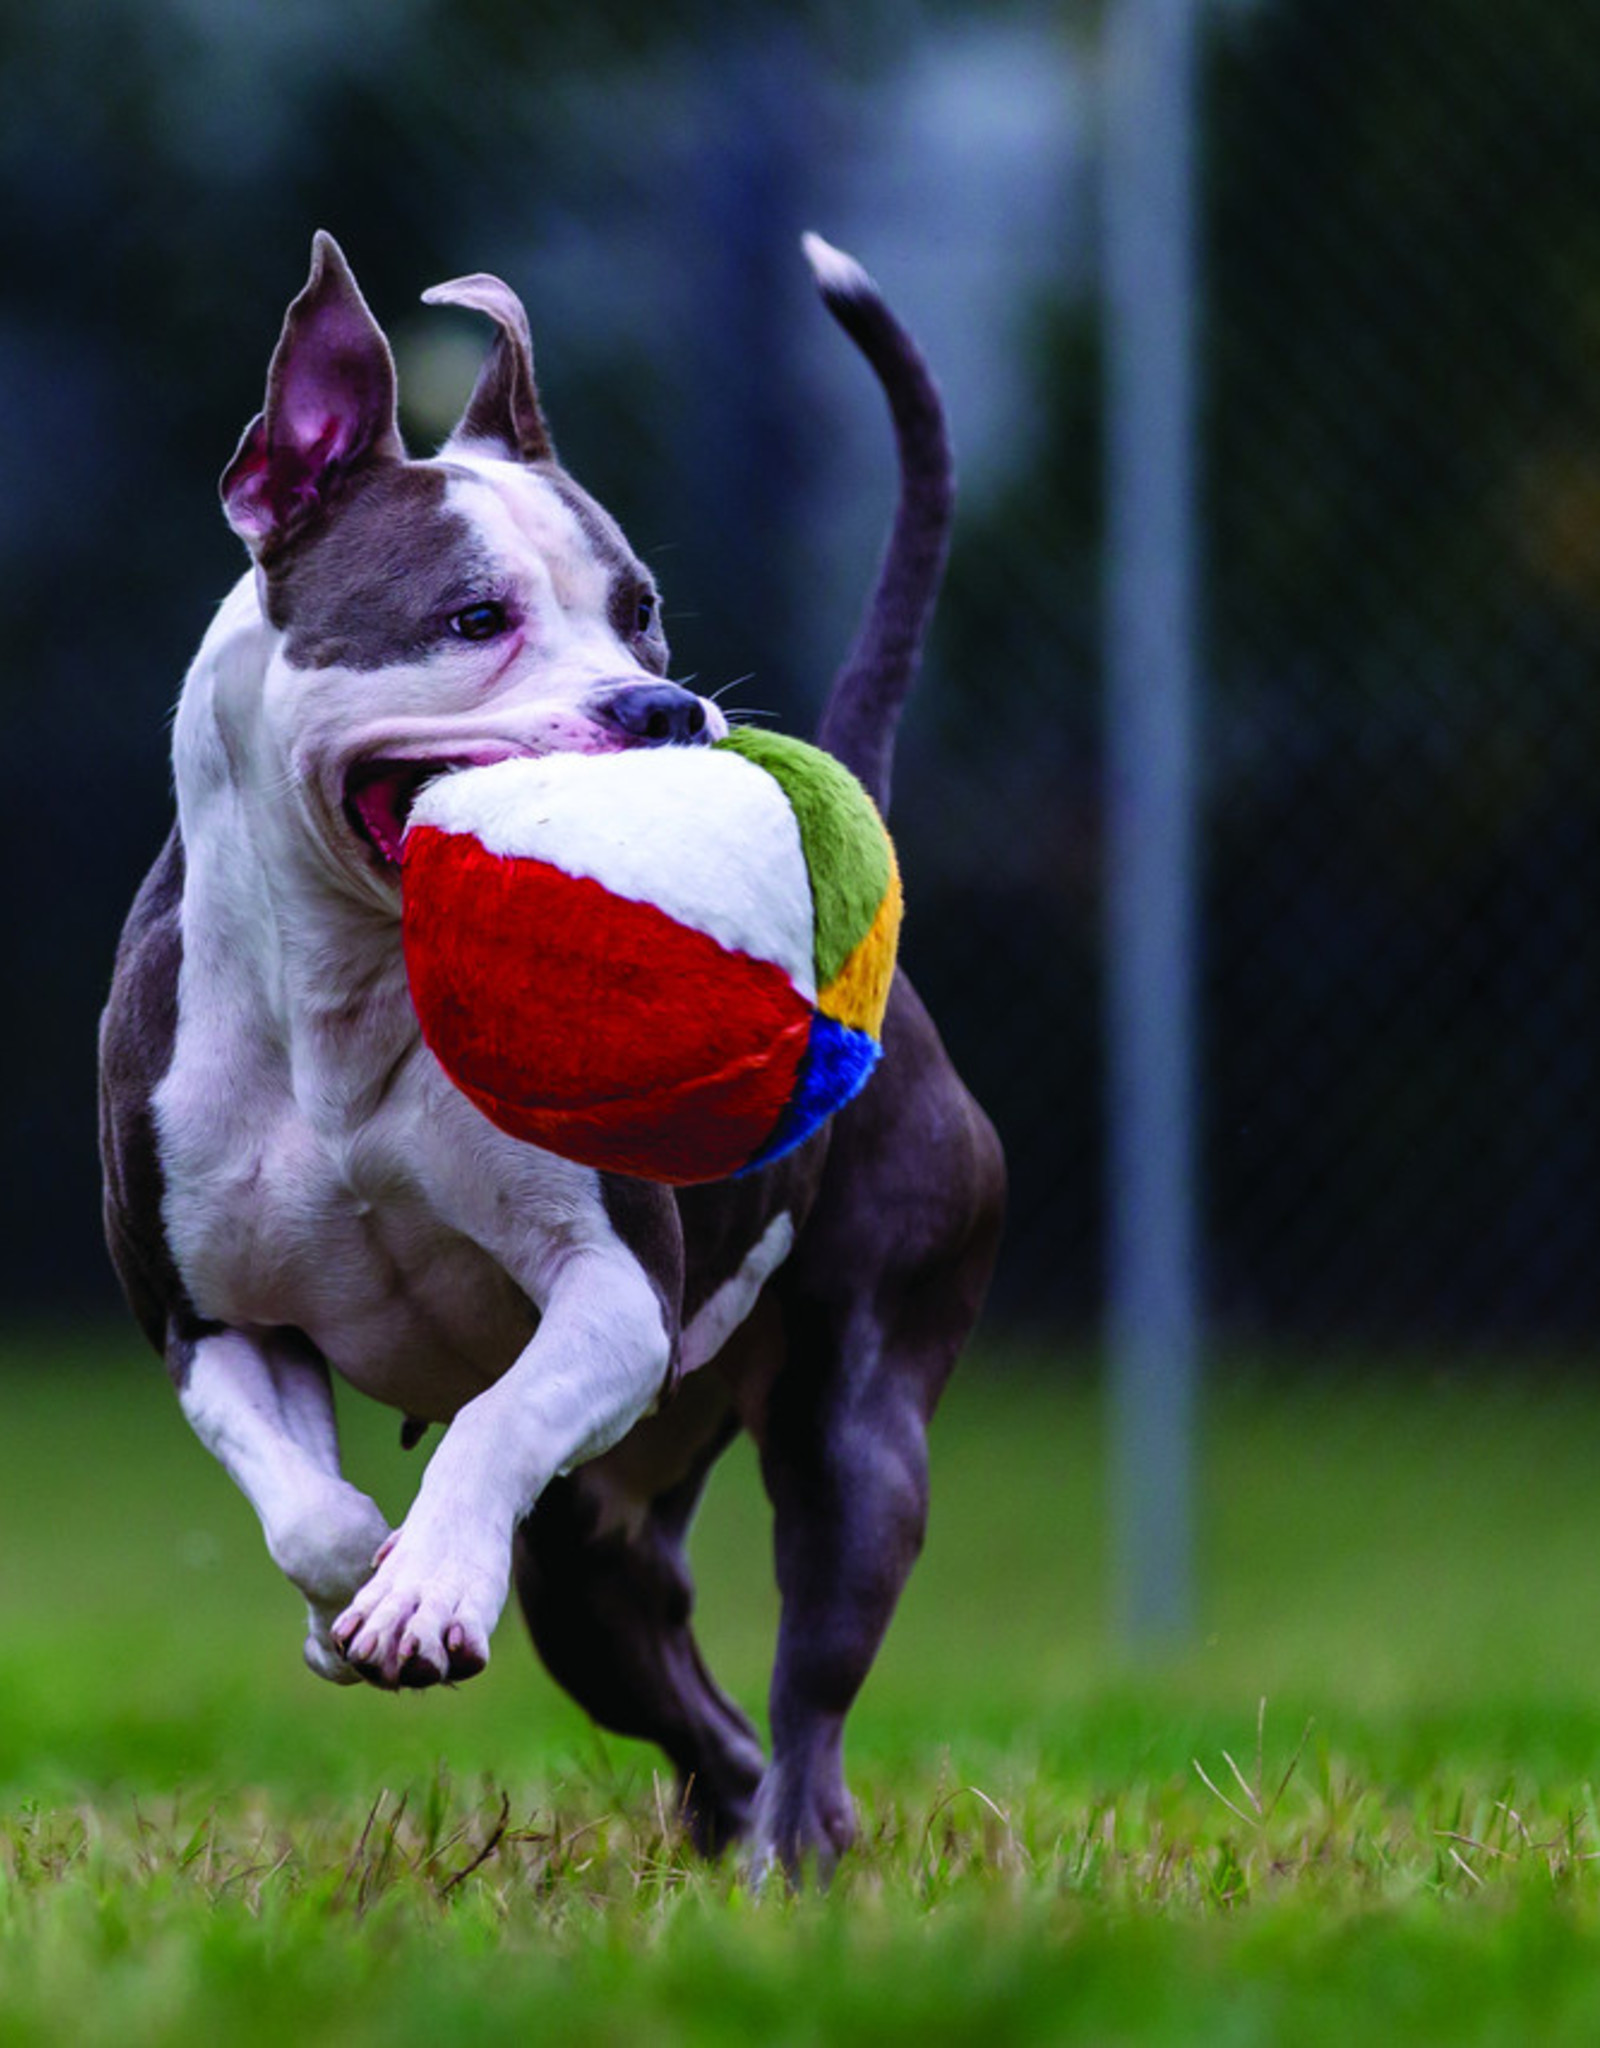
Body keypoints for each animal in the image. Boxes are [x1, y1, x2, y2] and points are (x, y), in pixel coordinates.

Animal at [96, 232, 999, 1875]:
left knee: (811, 1681)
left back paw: (795, 1851)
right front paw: (360, 1597)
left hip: (856, 1419)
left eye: (643, 611)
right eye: (471, 618)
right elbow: (305, 1508)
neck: (350, 989)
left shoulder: (611, 1293)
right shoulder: (214, 1322)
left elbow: (492, 1416)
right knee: (693, 1702)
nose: (664, 703)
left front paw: (427, 1580)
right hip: (598, 1554)